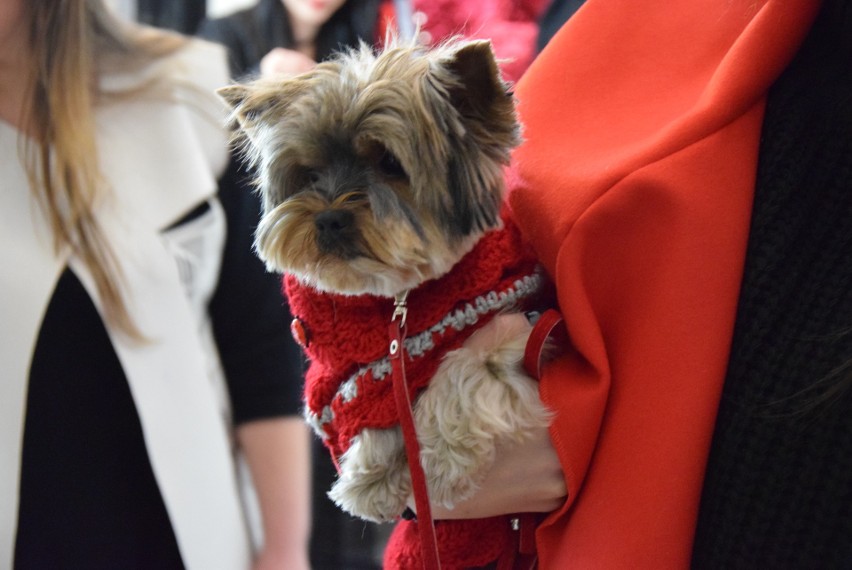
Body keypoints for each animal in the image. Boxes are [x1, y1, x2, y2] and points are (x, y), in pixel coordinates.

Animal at [218, 37, 552, 564]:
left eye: (390, 164)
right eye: (309, 173)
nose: (329, 218)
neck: (400, 302)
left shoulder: (521, 327)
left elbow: (465, 368)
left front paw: (442, 464)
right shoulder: (348, 381)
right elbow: (374, 410)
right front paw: (371, 478)